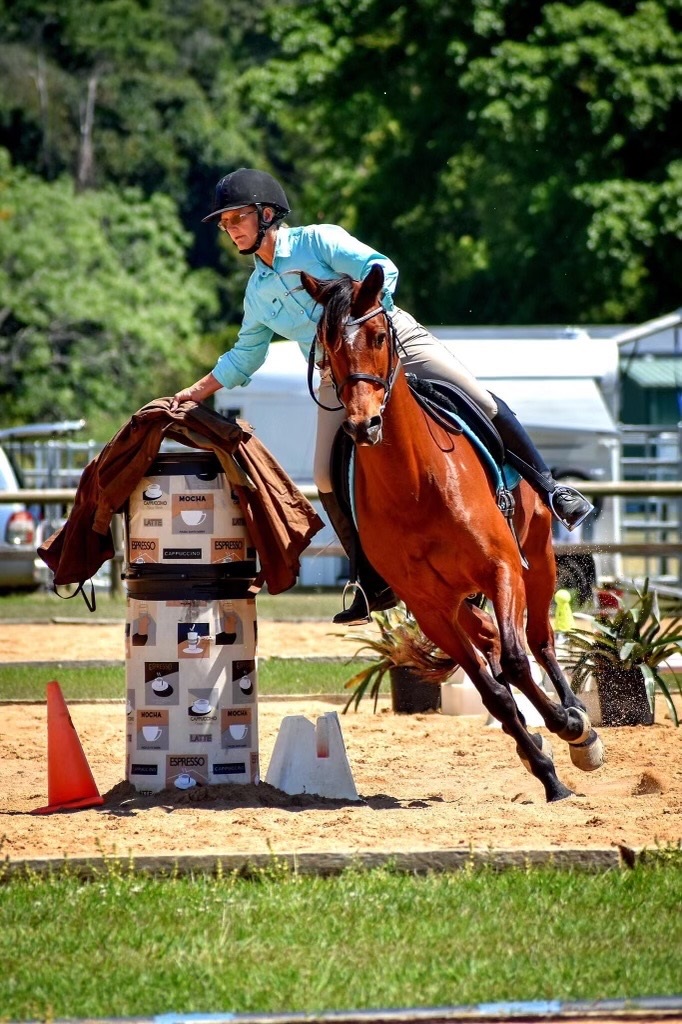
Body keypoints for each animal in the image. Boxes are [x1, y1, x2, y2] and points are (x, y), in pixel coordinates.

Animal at [300, 264, 604, 802]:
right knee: (494, 641)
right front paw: (546, 773)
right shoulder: (429, 606)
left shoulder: (502, 568)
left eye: (379, 336)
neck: (414, 484)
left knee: (539, 640)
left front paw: (569, 729)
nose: (363, 425)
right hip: (459, 600)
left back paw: (580, 730)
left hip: (537, 557)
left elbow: (516, 662)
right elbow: (494, 691)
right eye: (328, 344)